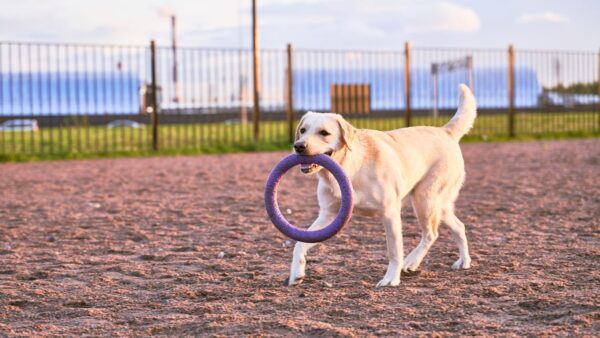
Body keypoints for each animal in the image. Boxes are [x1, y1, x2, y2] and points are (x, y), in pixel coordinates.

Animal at [284, 83, 476, 286]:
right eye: (303, 130)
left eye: (324, 133)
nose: (299, 146)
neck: (352, 168)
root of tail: (445, 131)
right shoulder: (328, 215)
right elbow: (299, 244)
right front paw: (296, 273)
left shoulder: (389, 212)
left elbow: (394, 251)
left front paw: (391, 279)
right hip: (438, 204)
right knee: (459, 226)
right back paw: (463, 261)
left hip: (424, 200)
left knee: (431, 234)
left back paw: (411, 261)